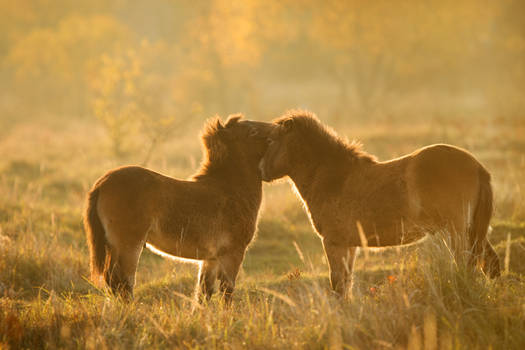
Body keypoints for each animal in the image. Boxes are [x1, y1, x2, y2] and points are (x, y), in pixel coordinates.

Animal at [84, 115, 272, 300]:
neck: (230, 188)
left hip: (113, 246)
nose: (275, 128)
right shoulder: (233, 254)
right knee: (122, 283)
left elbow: (203, 293)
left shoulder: (211, 258)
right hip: (128, 246)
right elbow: (227, 292)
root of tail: (102, 182)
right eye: (252, 131)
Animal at [258, 110, 500, 296]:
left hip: (456, 231)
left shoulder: (333, 242)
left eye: (270, 141)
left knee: (467, 265)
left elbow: (338, 285)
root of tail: (478, 167)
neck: (334, 178)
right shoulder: (349, 245)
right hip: (472, 231)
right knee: (489, 264)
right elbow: (346, 283)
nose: (261, 170)